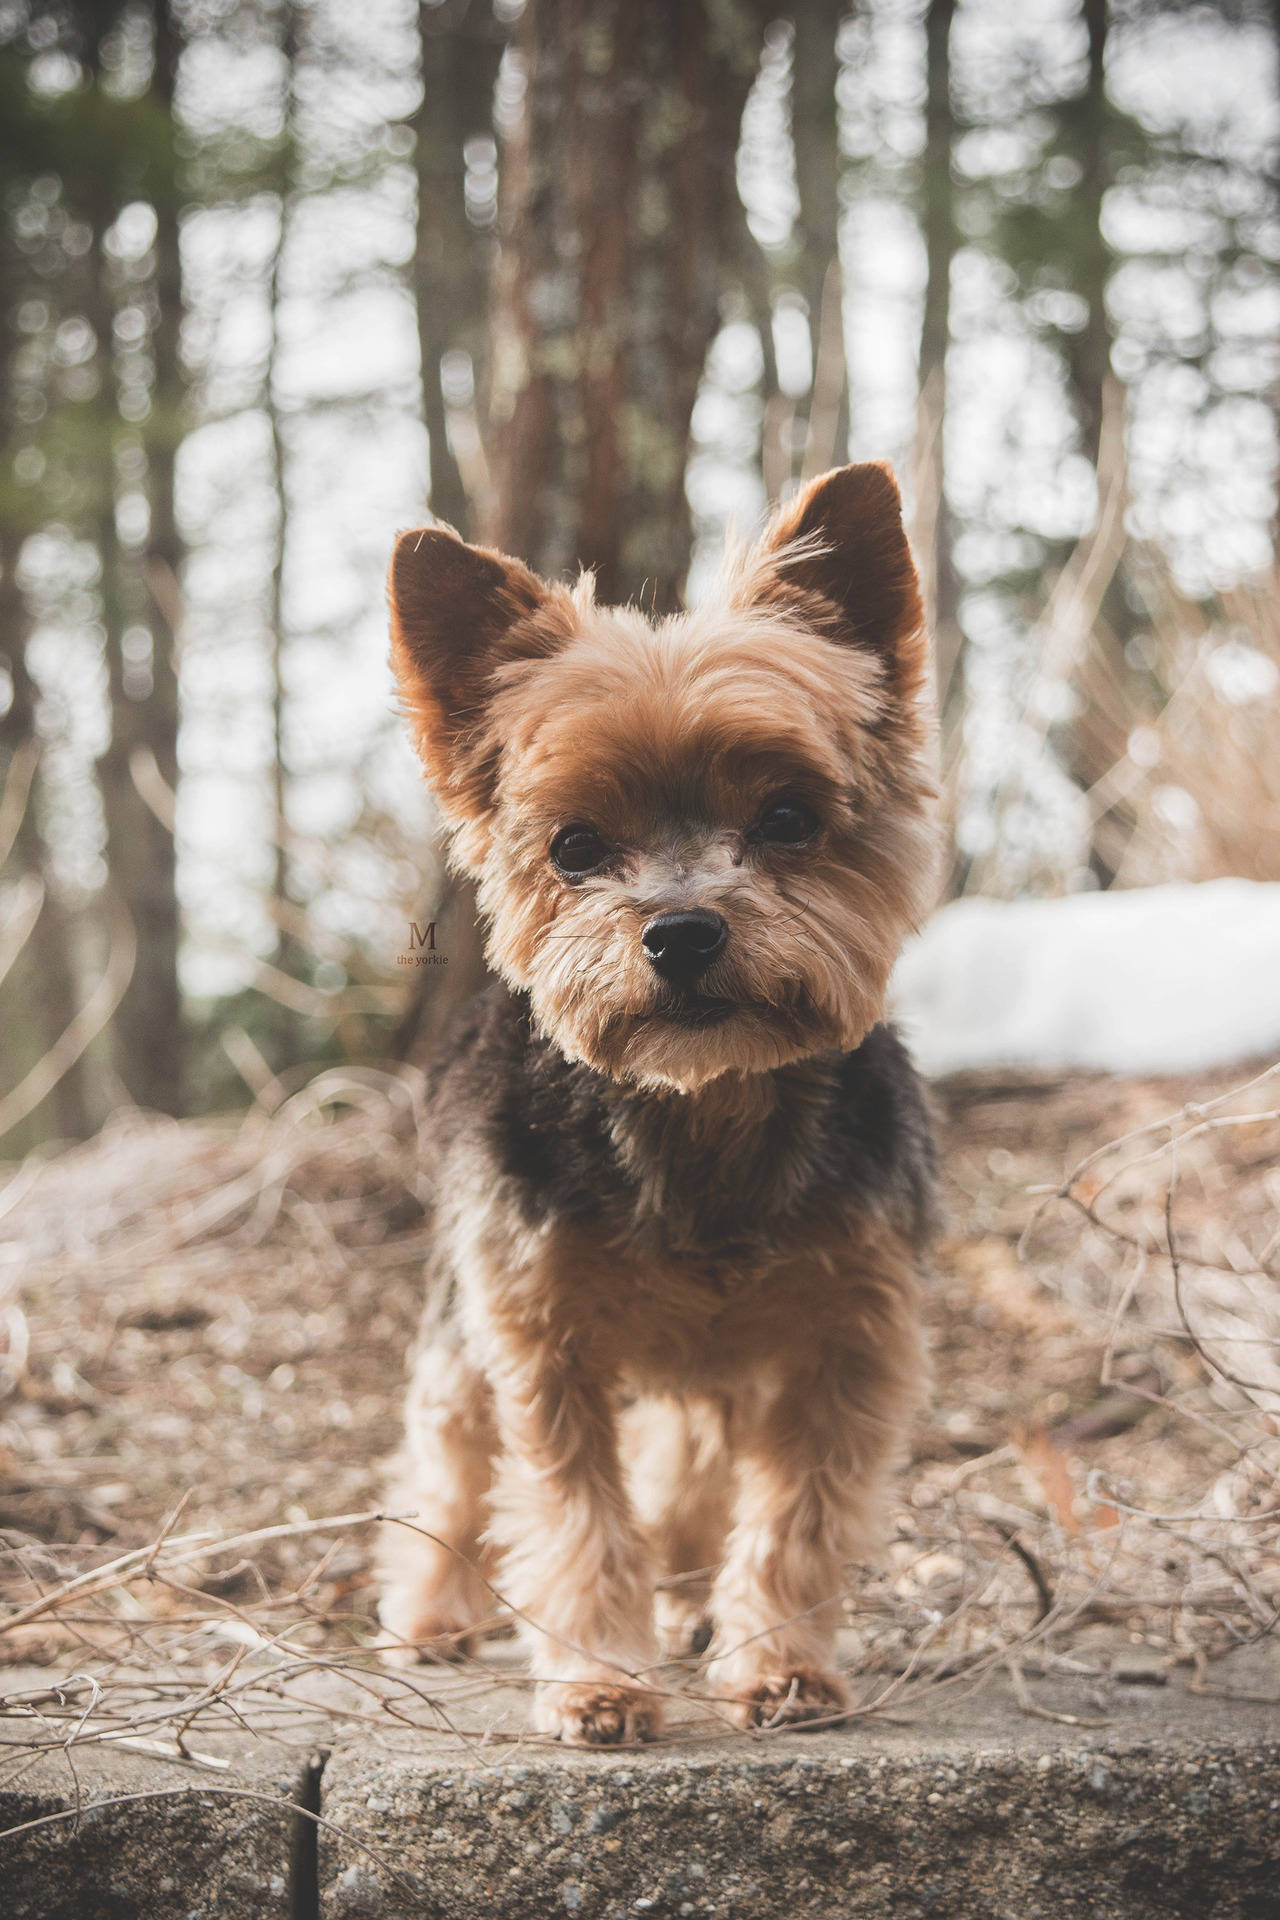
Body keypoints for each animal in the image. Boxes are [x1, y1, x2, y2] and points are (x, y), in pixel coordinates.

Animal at [376, 460, 936, 1743]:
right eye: (575, 846)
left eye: (786, 818)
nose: (681, 931)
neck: (701, 1107)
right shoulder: (540, 1336)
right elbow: (575, 1514)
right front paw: (598, 1681)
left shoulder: (849, 1334)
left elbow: (796, 1515)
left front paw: (779, 1667)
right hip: (458, 1313)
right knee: (447, 1451)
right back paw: (432, 1612)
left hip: (720, 1365)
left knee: (689, 1460)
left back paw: (687, 1600)